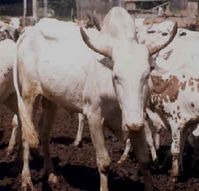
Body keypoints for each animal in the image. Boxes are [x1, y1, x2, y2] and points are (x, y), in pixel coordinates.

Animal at [13, 6, 176, 190]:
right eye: (116, 76)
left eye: (147, 74)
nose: (133, 123)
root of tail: (28, 33)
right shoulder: (94, 116)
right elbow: (104, 162)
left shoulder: (136, 116)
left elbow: (143, 159)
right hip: (29, 96)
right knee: (26, 135)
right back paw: (26, 179)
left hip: (51, 100)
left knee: (44, 133)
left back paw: (52, 175)